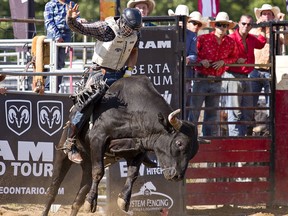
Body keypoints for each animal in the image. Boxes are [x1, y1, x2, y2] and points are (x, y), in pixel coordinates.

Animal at [41, 75, 199, 215]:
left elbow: (132, 174)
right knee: (52, 191)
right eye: (179, 143)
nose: (177, 176)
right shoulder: (98, 139)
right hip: (63, 156)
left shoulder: (138, 151)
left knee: (77, 200)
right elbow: (98, 172)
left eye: (193, 153)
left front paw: (124, 200)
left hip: (87, 164)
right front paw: (91, 202)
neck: (131, 111)